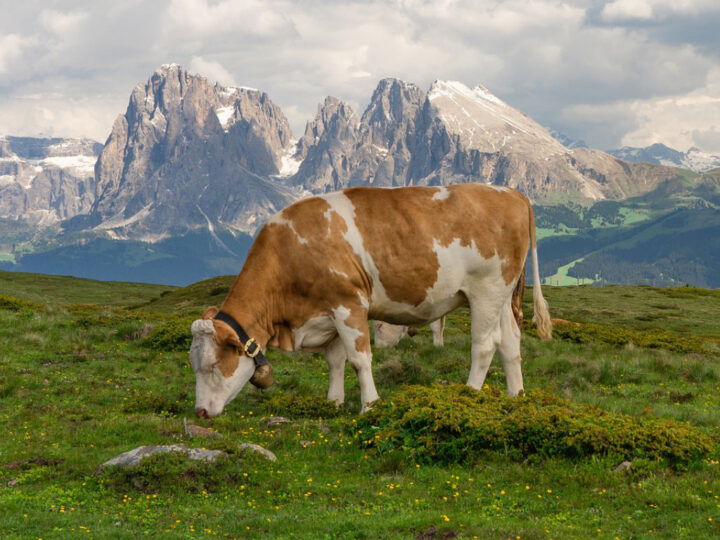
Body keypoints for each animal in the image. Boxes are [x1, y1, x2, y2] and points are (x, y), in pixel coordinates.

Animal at [187, 182, 552, 418]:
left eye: (212, 365)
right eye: (193, 365)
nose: (201, 412)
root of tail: (510, 192)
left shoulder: (348, 304)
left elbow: (359, 360)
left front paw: (369, 405)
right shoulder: (328, 312)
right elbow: (335, 361)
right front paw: (333, 402)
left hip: (485, 290)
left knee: (485, 345)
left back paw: (469, 395)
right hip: (502, 295)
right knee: (510, 342)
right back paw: (516, 397)